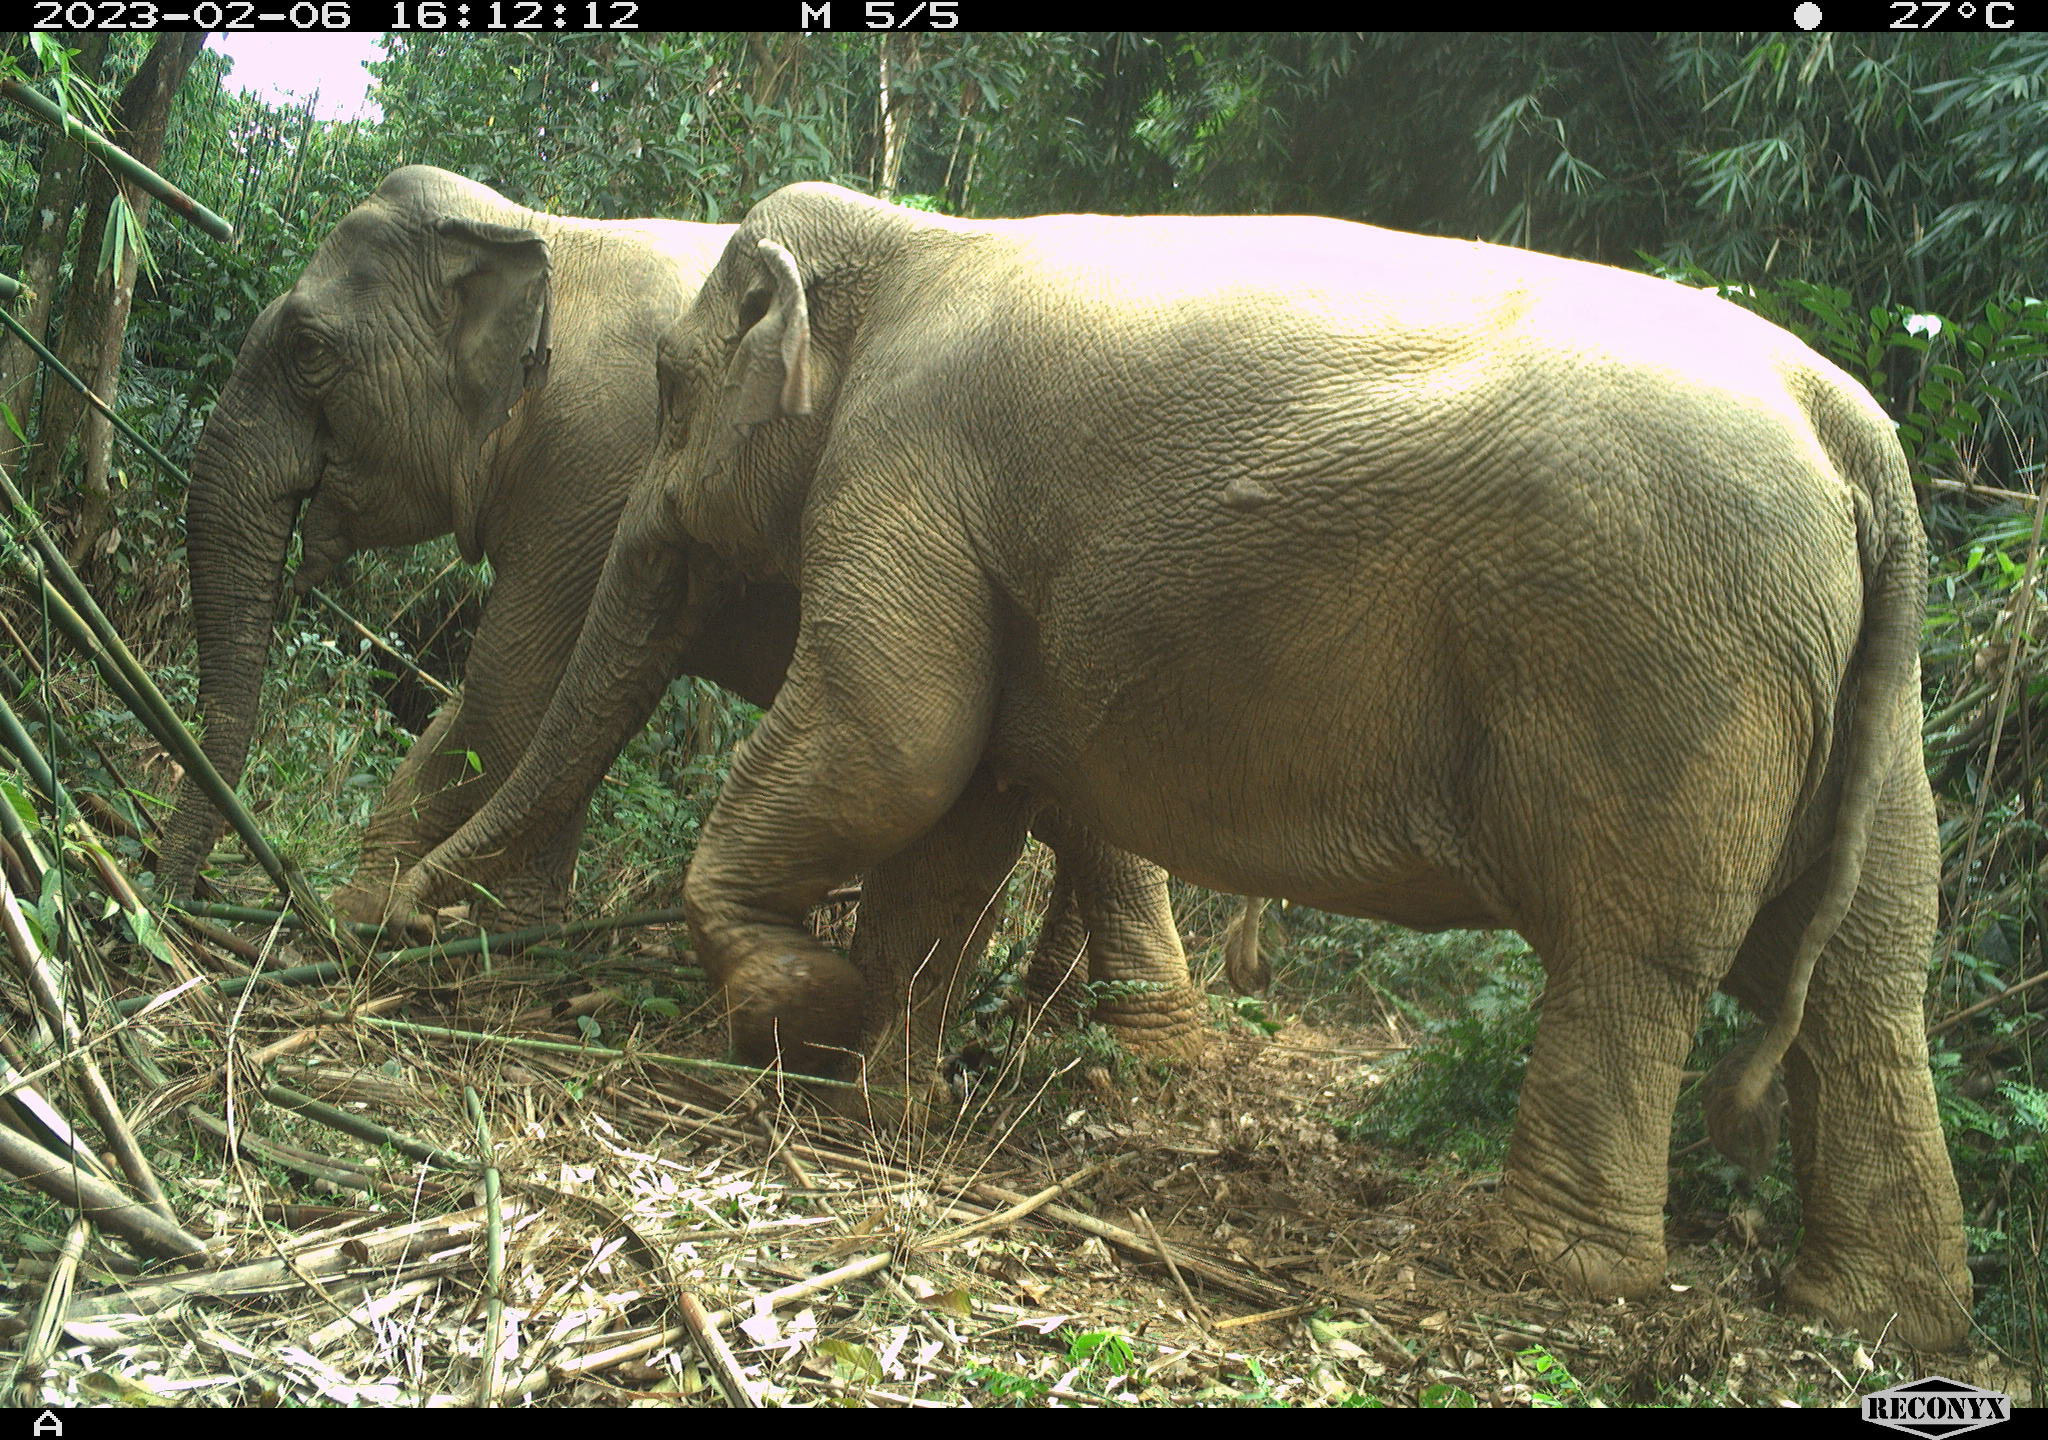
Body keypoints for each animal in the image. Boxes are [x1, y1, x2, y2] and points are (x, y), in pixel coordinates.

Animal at [167, 168, 1204, 1065]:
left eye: (308, 350)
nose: (178, 898)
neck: (543, 232)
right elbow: (522, 710)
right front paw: (393, 918)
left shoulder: (594, 464)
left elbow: (512, 695)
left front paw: (465, 948)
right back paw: (1063, 1022)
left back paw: (1135, 1043)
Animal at [380, 183, 1966, 1351]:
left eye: (664, 386)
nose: (383, 923)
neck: (914, 238)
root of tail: (1865, 446)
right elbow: (964, 806)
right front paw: (882, 1102)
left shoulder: (905, 474)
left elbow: (890, 735)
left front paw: (799, 1007)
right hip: (1860, 714)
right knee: (1870, 982)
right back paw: (1877, 1312)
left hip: (1664, 665)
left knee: (1632, 957)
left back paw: (1543, 1269)